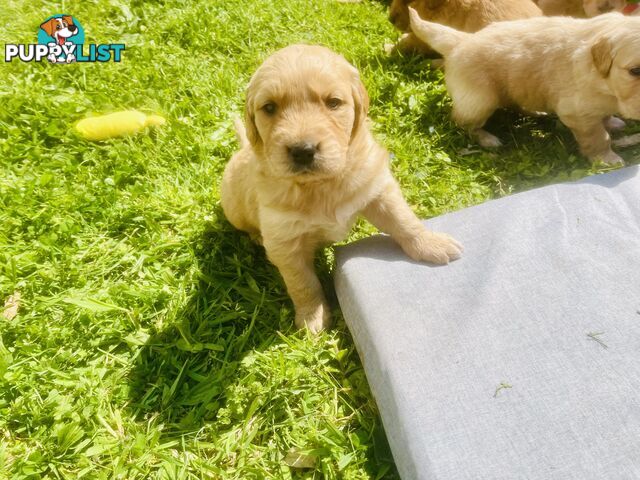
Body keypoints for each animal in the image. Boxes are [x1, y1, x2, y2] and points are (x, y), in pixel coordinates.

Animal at [222, 45, 462, 334]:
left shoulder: (377, 187)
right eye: (269, 107)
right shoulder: (284, 242)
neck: (320, 185)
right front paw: (312, 316)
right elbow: (302, 282)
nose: (303, 150)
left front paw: (431, 244)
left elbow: (404, 220)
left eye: (333, 102)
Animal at [408, 9, 640, 165]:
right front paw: (607, 159)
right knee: (461, 121)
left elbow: (604, 116)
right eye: (635, 71)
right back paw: (487, 139)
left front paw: (612, 122)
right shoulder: (577, 112)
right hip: (480, 101)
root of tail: (461, 40)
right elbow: (598, 137)